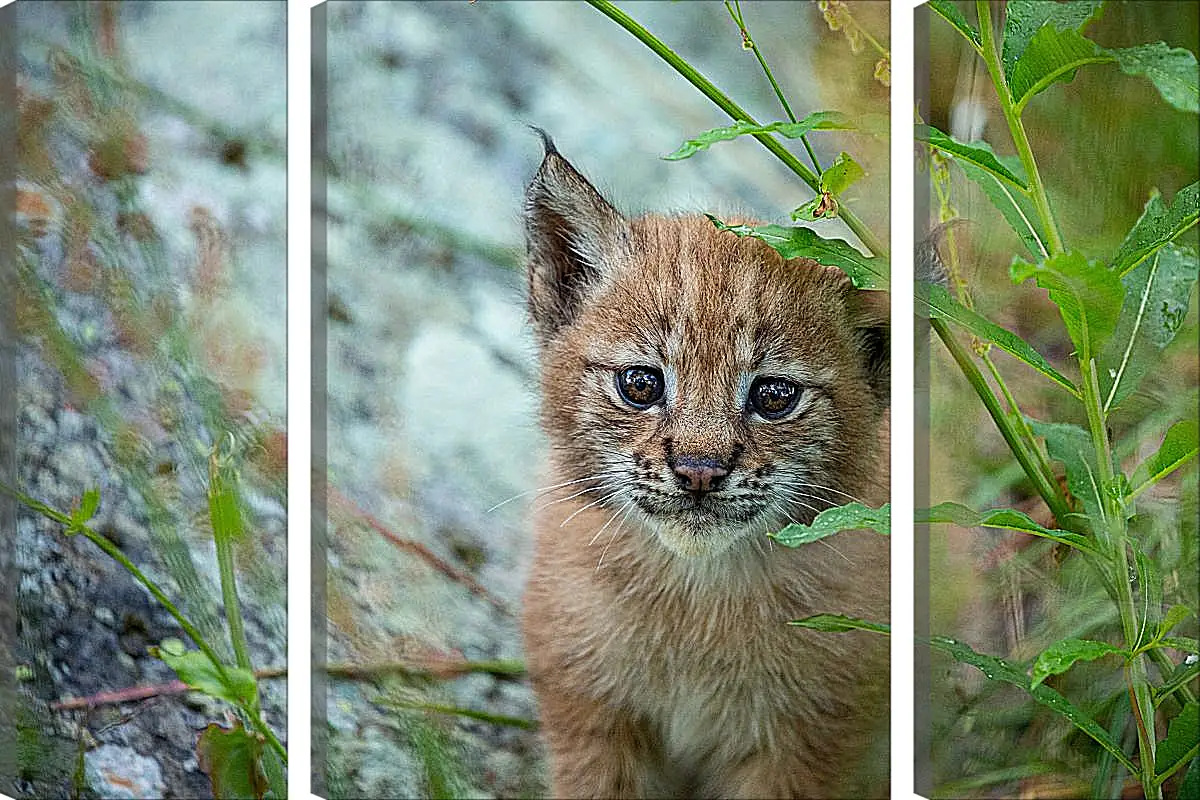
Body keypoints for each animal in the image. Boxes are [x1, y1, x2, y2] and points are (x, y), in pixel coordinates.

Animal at [520, 134, 888, 796]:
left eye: (774, 395)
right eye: (640, 384)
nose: (698, 470)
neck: (699, 592)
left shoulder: (803, 746)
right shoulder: (589, 712)